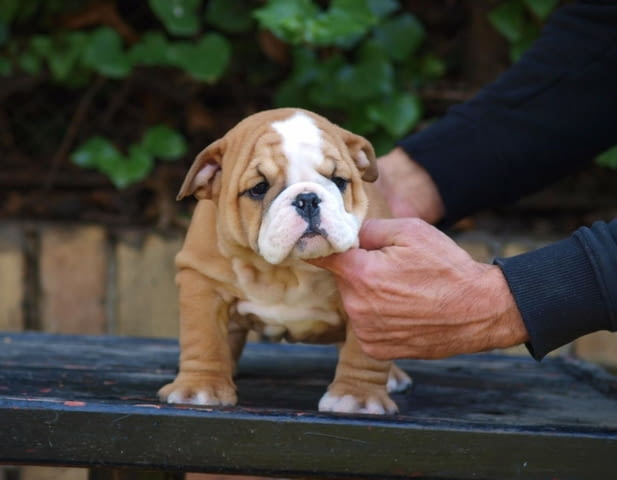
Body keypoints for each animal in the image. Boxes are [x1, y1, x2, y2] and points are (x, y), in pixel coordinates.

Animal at [158, 108, 410, 412]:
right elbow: (203, 338)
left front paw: (357, 397)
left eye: (339, 181)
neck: (289, 269)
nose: (308, 198)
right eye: (258, 188)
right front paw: (199, 387)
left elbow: (363, 352)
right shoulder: (202, 281)